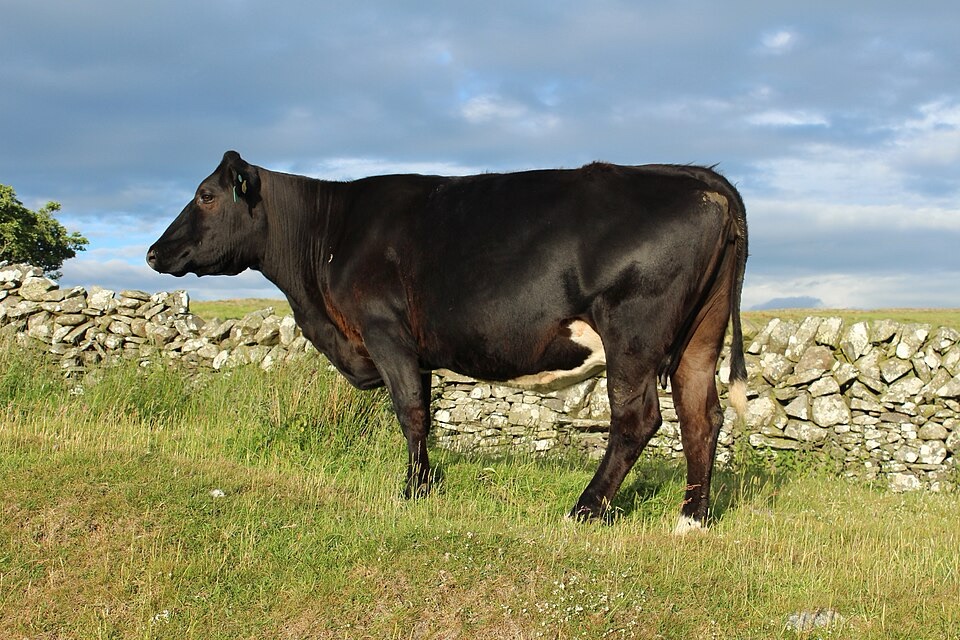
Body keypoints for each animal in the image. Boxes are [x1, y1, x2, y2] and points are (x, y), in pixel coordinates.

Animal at [147, 151, 748, 533]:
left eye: (205, 195)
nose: (153, 253)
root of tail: (698, 177)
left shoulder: (386, 331)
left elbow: (411, 411)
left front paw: (413, 490)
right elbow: (425, 413)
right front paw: (426, 481)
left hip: (632, 333)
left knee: (637, 418)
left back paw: (585, 510)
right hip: (699, 337)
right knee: (701, 416)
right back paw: (691, 520)